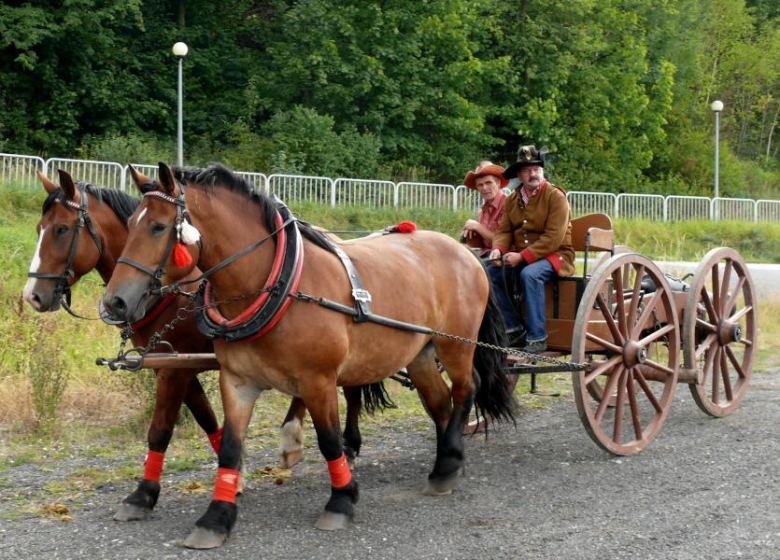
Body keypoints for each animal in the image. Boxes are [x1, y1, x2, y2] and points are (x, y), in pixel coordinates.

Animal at [22, 168, 376, 524]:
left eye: (62, 229)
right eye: (39, 229)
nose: (32, 296)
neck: (173, 290)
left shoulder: (176, 371)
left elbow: (160, 429)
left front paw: (143, 495)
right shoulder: (175, 364)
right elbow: (207, 418)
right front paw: (234, 473)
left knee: (347, 389)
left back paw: (335, 444)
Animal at [102, 162, 512, 548]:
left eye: (158, 227)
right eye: (131, 223)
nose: (114, 302)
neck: (275, 284)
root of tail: (465, 252)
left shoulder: (318, 380)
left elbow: (329, 440)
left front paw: (341, 501)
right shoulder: (237, 382)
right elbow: (230, 447)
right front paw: (216, 517)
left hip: (456, 343)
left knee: (465, 389)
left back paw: (448, 461)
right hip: (421, 353)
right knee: (440, 402)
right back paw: (447, 464)